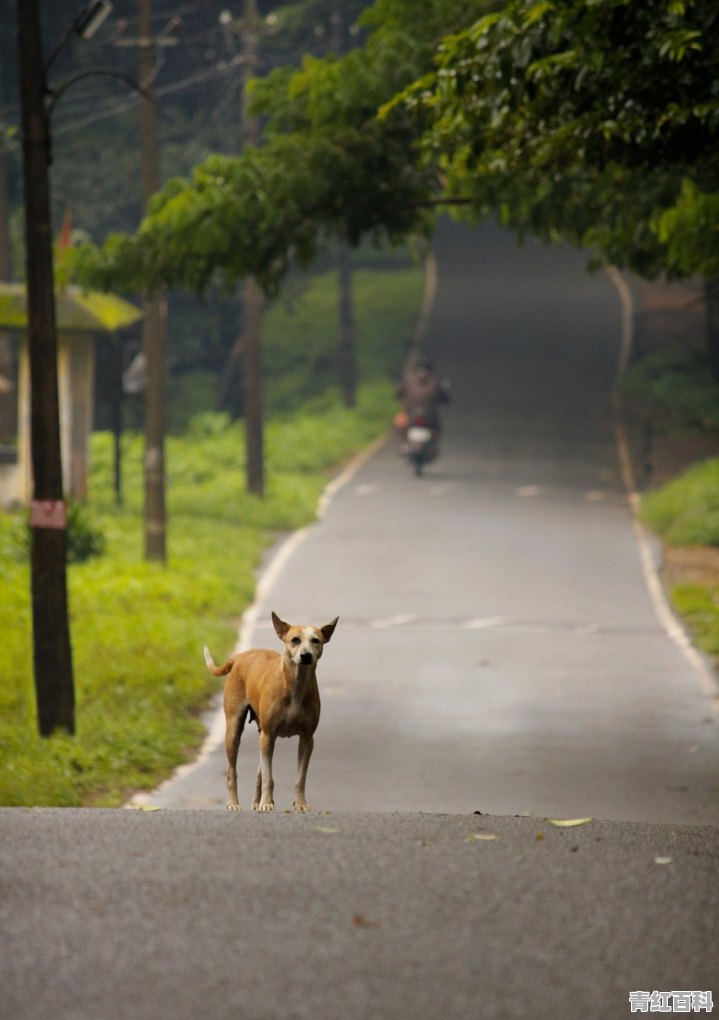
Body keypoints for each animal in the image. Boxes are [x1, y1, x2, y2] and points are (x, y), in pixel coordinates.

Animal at [201, 612, 336, 811]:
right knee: (232, 771)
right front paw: (266, 803)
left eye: (315, 640)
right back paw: (234, 802)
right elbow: (268, 777)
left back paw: (256, 802)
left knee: (259, 771)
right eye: (295, 640)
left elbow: (300, 778)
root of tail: (240, 656)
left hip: (262, 734)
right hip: (235, 729)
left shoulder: (307, 739)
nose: (305, 656)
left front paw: (300, 804)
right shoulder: (269, 735)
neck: (295, 685)